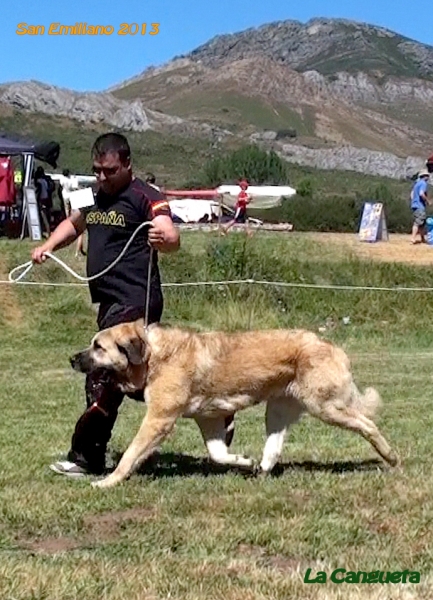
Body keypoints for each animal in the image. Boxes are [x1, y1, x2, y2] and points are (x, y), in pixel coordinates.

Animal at [68, 318, 398, 488]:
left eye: (98, 347)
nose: (71, 359)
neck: (152, 356)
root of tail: (332, 346)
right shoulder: (208, 419)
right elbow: (218, 454)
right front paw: (243, 461)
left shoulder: (159, 419)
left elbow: (130, 454)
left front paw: (108, 481)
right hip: (277, 411)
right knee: (273, 449)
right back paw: (260, 470)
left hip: (326, 407)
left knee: (368, 424)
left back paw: (391, 457)